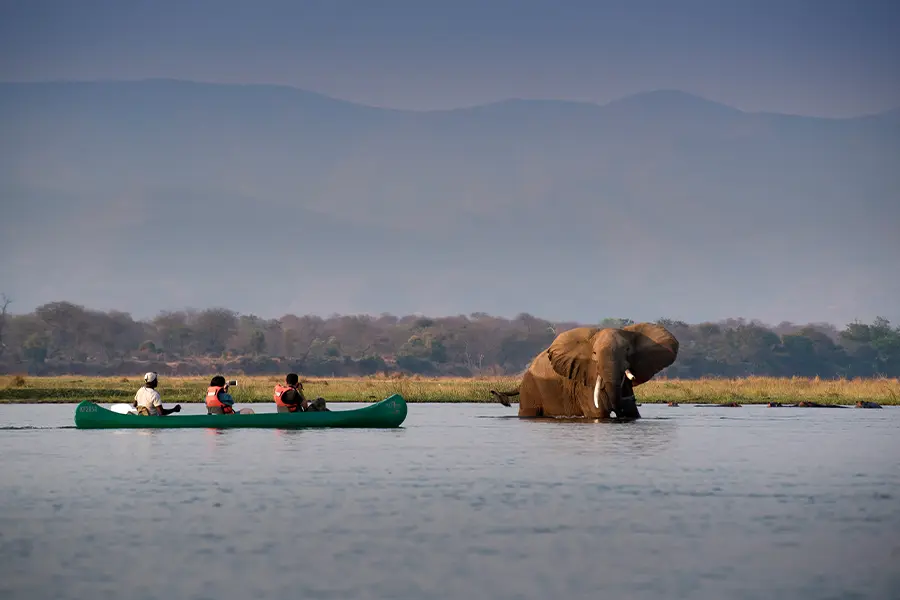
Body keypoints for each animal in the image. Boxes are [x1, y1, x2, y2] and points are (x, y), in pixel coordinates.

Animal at [492, 324, 676, 418]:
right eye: (594, 354)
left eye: (628, 350)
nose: (634, 399)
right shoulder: (584, 380)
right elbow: (598, 413)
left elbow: (633, 414)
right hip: (531, 388)